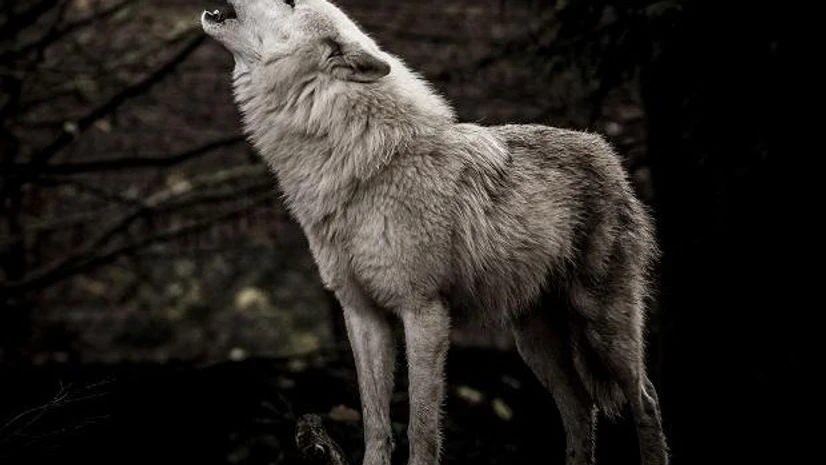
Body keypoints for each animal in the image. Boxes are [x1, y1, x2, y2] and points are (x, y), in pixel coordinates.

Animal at [201, 1, 668, 465]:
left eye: (293, 3)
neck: (362, 162)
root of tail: (607, 152)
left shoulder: (423, 311)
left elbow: (421, 428)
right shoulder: (362, 314)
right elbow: (375, 424)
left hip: (603, 326)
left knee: (644, 399)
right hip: (534, 342)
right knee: (581, 410)